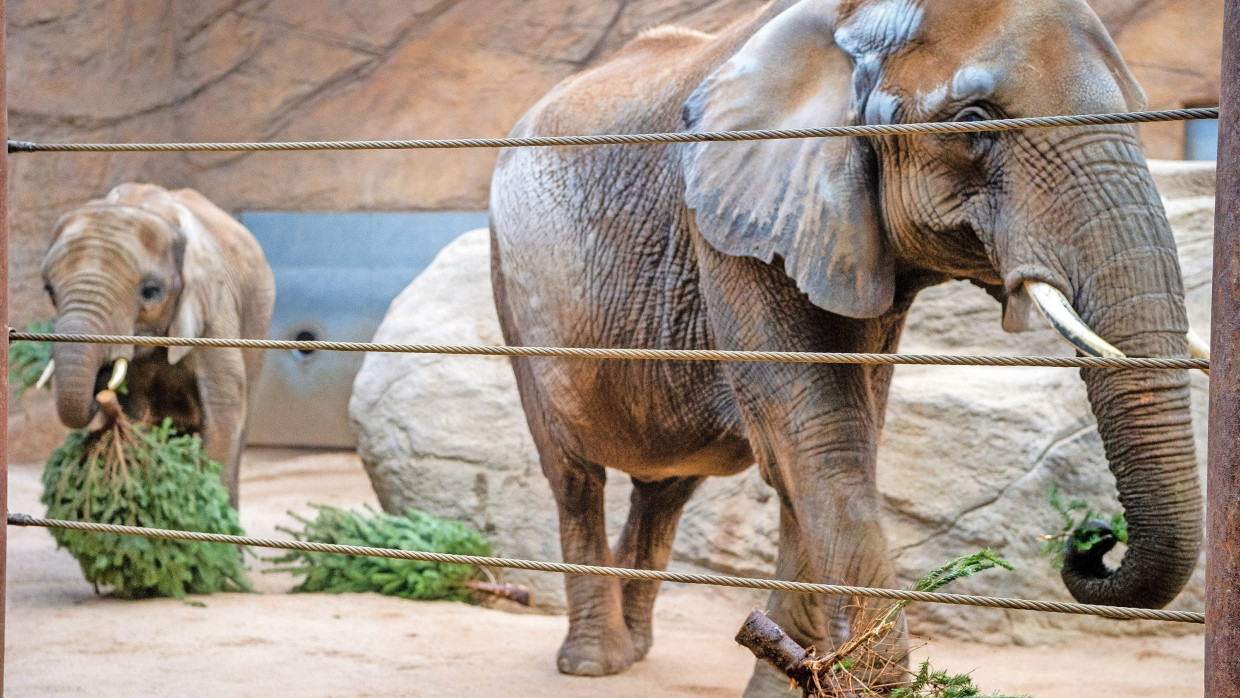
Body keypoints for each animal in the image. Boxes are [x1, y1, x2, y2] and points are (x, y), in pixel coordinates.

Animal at [44, 183, 279, 505]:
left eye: (151, 291)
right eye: (49, 290)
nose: (101, 392)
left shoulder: (214, 314)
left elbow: (222, 413)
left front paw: (208, 506)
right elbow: (137, 412)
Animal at [488, 0, 1215, 689]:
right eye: (973, 120)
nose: (1093, 540)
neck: (848, 21)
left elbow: (838, 440)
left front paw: (797, 677)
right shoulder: (735, 218)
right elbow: (820, 440)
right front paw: (860, 684)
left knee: (666, 487)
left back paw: (635, 650)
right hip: (512, 284)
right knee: (574, 476)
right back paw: (594, 665)